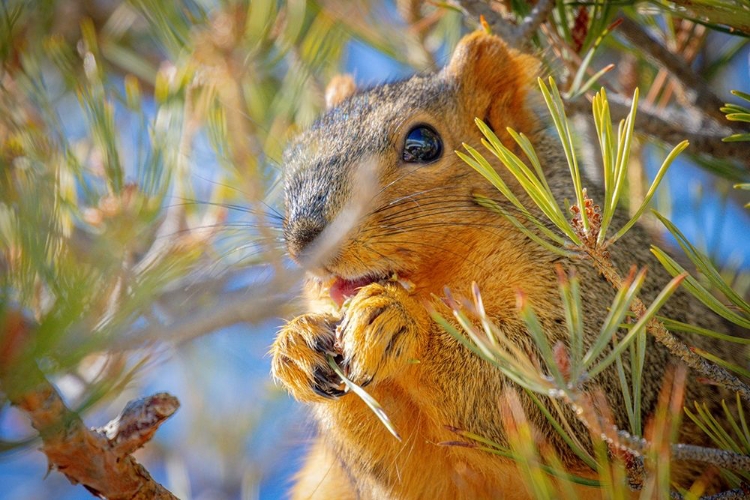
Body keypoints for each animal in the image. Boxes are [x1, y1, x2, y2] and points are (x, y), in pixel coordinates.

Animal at [268, 31, 748, 500]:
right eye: (294, 154)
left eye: (423, 144)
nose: (307, 241)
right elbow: (404, 472)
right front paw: (297, 342)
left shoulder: (608, 309)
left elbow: (560, 396)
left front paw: (402, 321)